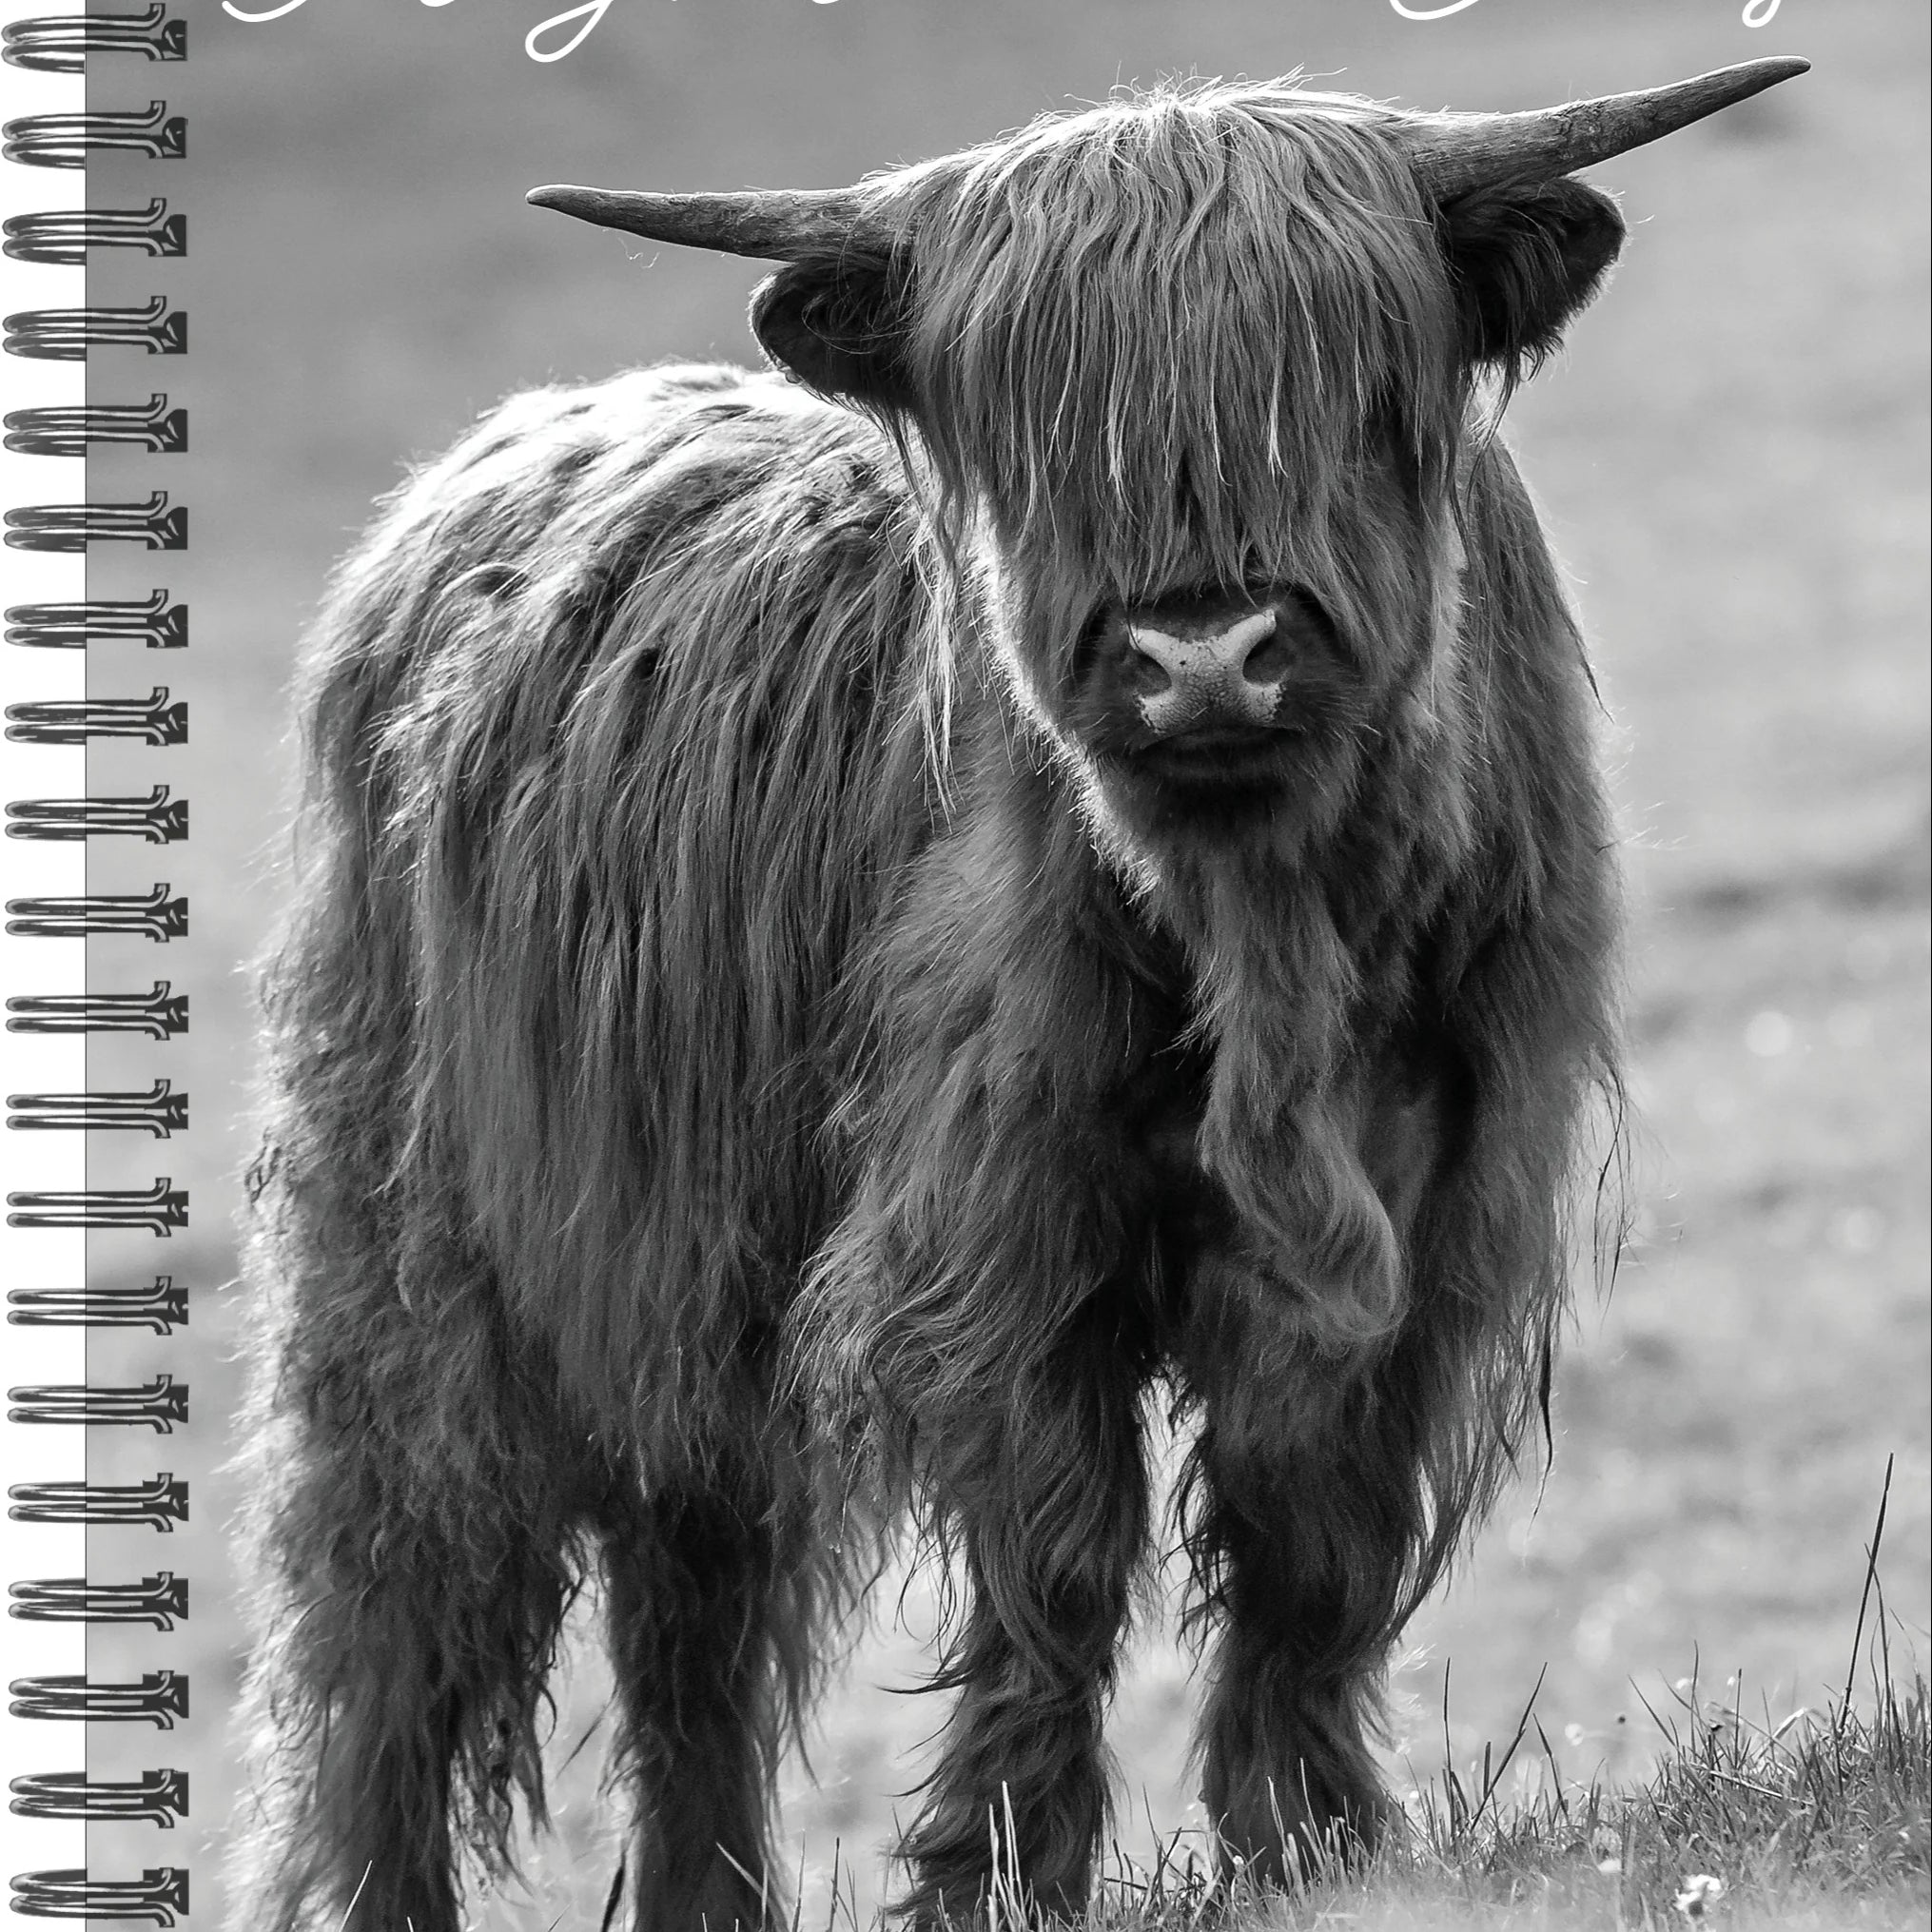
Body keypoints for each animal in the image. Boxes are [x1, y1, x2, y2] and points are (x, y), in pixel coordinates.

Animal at [228, 57, 1807, 1932]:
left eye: (1357, 380)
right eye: (1032, 422)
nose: (1205, 656)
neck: (1267, 947)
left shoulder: (1434, 1203)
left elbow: (1311, 1527)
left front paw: (1311, 1837)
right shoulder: (1000, 1210)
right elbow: (1055, 1551)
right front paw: (995, 1872)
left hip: (681, 1292)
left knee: (693, 1602)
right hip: (419, 1252)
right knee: (401, 1598)